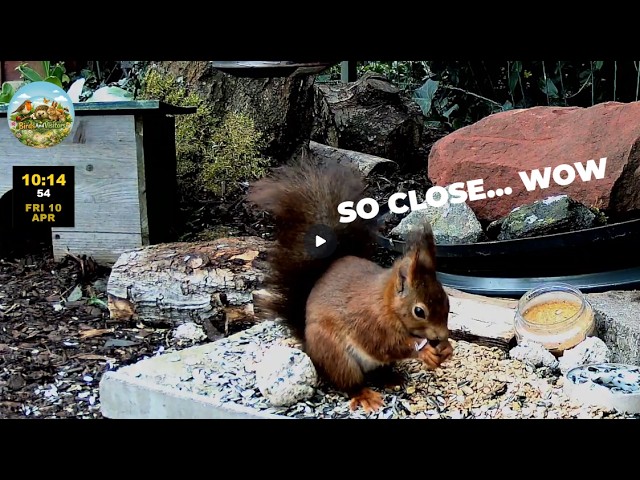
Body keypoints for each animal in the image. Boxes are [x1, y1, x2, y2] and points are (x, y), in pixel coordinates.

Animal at [247, 158, 453, 413]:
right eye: (419, 311)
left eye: (447, 301)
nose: (443, 335)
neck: (386, 305)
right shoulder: (369, 323)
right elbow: (386, 346)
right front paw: (425, 351)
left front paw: (446, 349)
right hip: (336, 356)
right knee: (351, 382)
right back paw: (365, 395)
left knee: (379, 372)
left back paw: (392, 378)